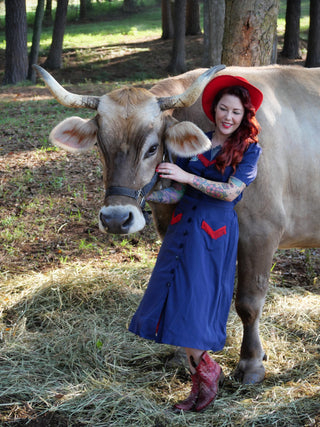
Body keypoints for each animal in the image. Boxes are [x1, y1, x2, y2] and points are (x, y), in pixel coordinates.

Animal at [33, 65, 318, 386]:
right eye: (100, 146)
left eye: (152, 148)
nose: (116, 218)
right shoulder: (170, 228)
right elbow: (179, 291)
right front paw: (184, 356)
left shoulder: (261, 232)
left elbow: (249, 303)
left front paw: (251, 363)